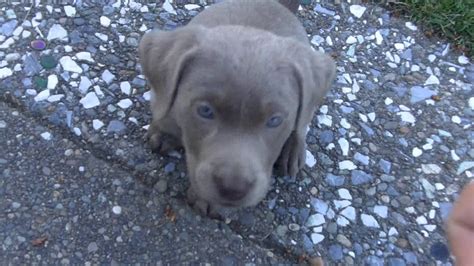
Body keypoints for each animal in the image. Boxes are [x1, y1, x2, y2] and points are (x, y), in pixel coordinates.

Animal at [139, 0, 336, 216]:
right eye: (205, 110)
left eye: (275, 120)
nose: (233, 188)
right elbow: (166, 110)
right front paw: (165, 132)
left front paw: (209, 201)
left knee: (302, 123)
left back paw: (293, 150)